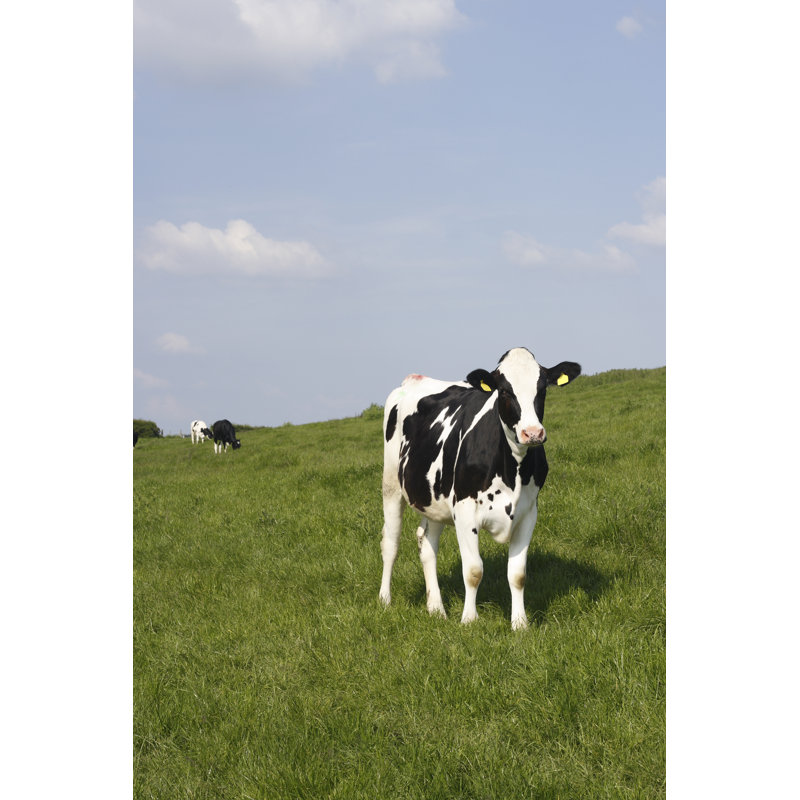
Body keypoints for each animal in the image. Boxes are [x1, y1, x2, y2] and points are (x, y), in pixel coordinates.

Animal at [379, 347, 581, 630]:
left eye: (542, 389)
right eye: (505, 391)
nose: (533, 433)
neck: (512, 469)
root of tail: (415, 379)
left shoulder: (528, 512)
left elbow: (517, 574)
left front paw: (520, 624)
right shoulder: (464, 511)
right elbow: (474, 571)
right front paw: (469, 620)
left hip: (435, 498)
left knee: (427, 544)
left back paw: (436, 608)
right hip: (391, 485)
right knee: (391, 542)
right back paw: (385, 600)